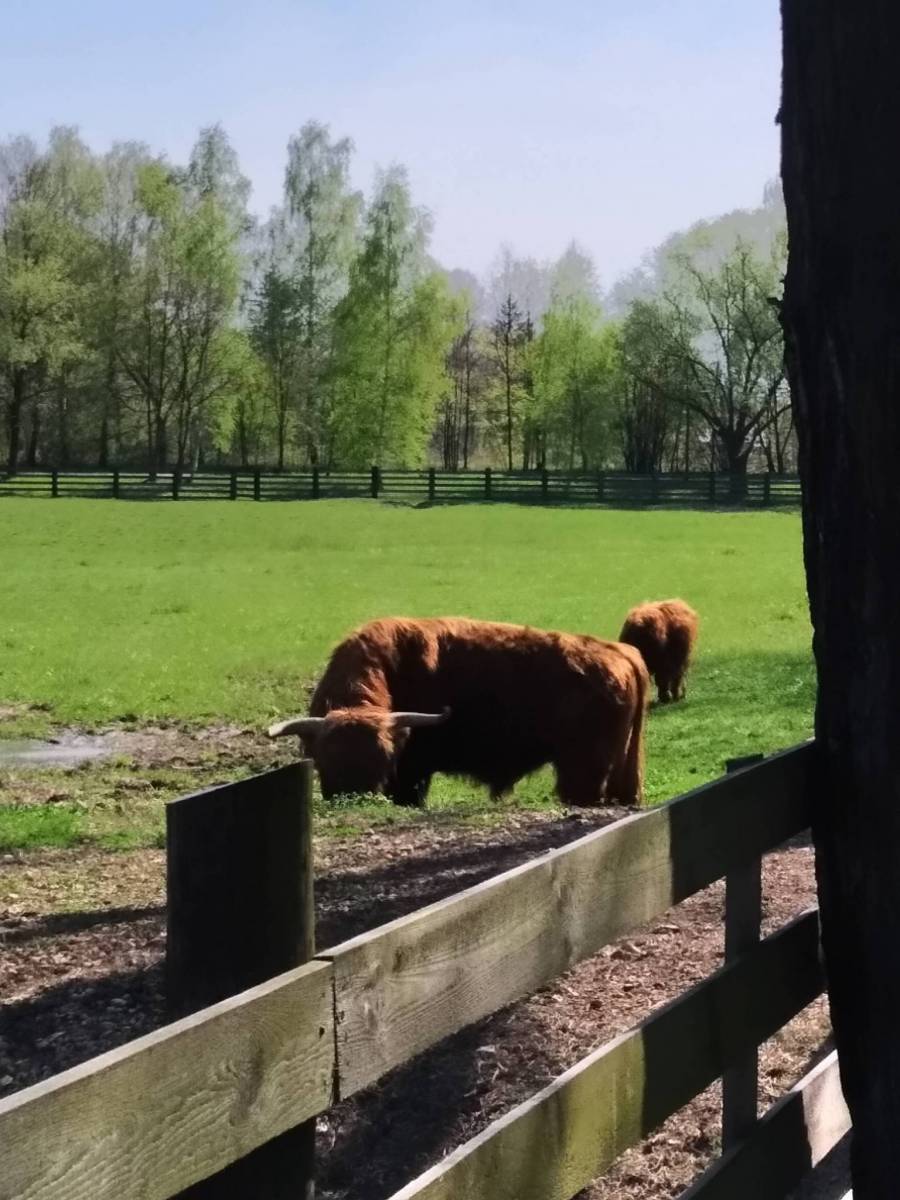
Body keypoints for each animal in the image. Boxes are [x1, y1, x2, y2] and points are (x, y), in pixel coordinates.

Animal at [268, 617, 649, 809]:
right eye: (324, 762)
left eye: (384, 758)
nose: (357, 800)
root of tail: (620, 652)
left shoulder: (411, 775)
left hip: (581, 774)